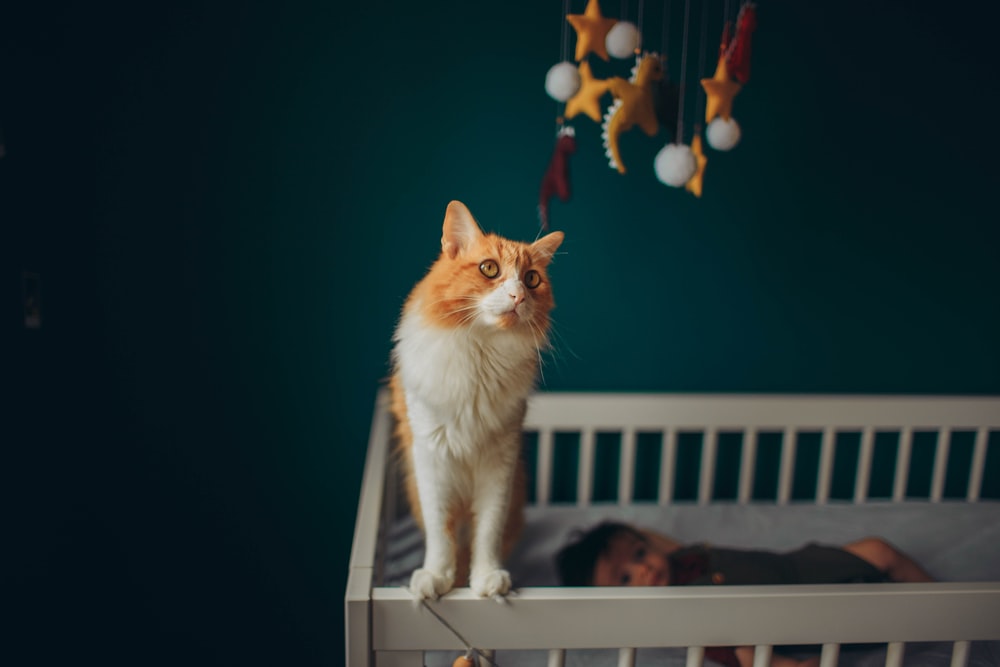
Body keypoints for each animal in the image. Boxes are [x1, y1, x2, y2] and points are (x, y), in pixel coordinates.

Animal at [388, 200, 564, 600]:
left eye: (532, 279)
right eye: (489, 269)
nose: (518, 296)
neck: (482, 351)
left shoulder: (499, 463)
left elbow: (488, 530)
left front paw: (485, 578)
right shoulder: (432, 459)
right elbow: (441, 534)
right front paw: (437, 578)